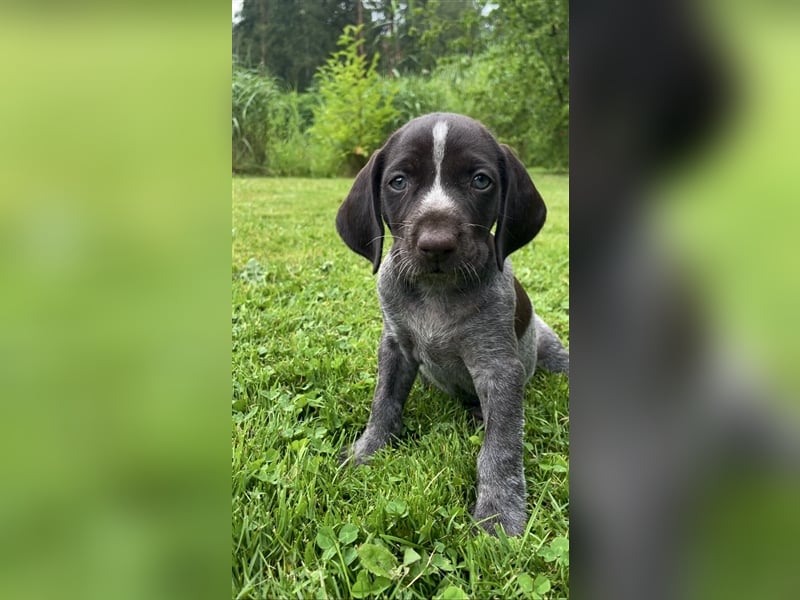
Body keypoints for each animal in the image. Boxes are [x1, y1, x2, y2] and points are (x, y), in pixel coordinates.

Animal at [336, 112, 568, 536]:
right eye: (398, 181)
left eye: (480, 180)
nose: (436, 244)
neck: (436, 293)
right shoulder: (394, 347)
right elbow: (383, 403)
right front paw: (367, 450)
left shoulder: (498, 369)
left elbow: (500, 447)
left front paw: (498, 511)